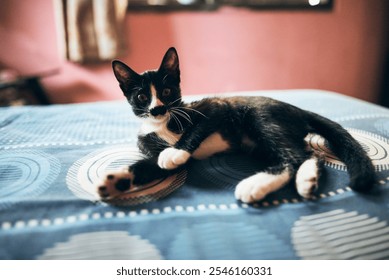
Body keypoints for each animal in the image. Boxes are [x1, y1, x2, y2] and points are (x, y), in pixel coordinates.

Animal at [98, 47, 376, 202]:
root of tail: (297, 110)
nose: (157, 108)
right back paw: (306, 178)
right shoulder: (147, 144)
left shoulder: (216, 107)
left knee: (295, 156)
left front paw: (175, 151)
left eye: (166, 91)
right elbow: (150, 165)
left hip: (260, 117)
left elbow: (193, 132)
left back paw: (257, 185)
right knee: (308, 154)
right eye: (141, 97)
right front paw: (113, 181)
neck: (164, 124)